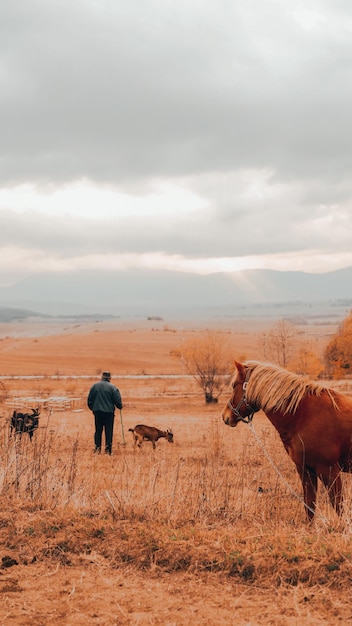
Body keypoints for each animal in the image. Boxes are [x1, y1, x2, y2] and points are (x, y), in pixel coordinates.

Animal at [221, 358, 352, 520]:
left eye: (234, 385)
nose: (225, 416)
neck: (304, 416)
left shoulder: (329, 470)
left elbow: (338, 506)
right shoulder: (305, 469)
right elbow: (310, 505)